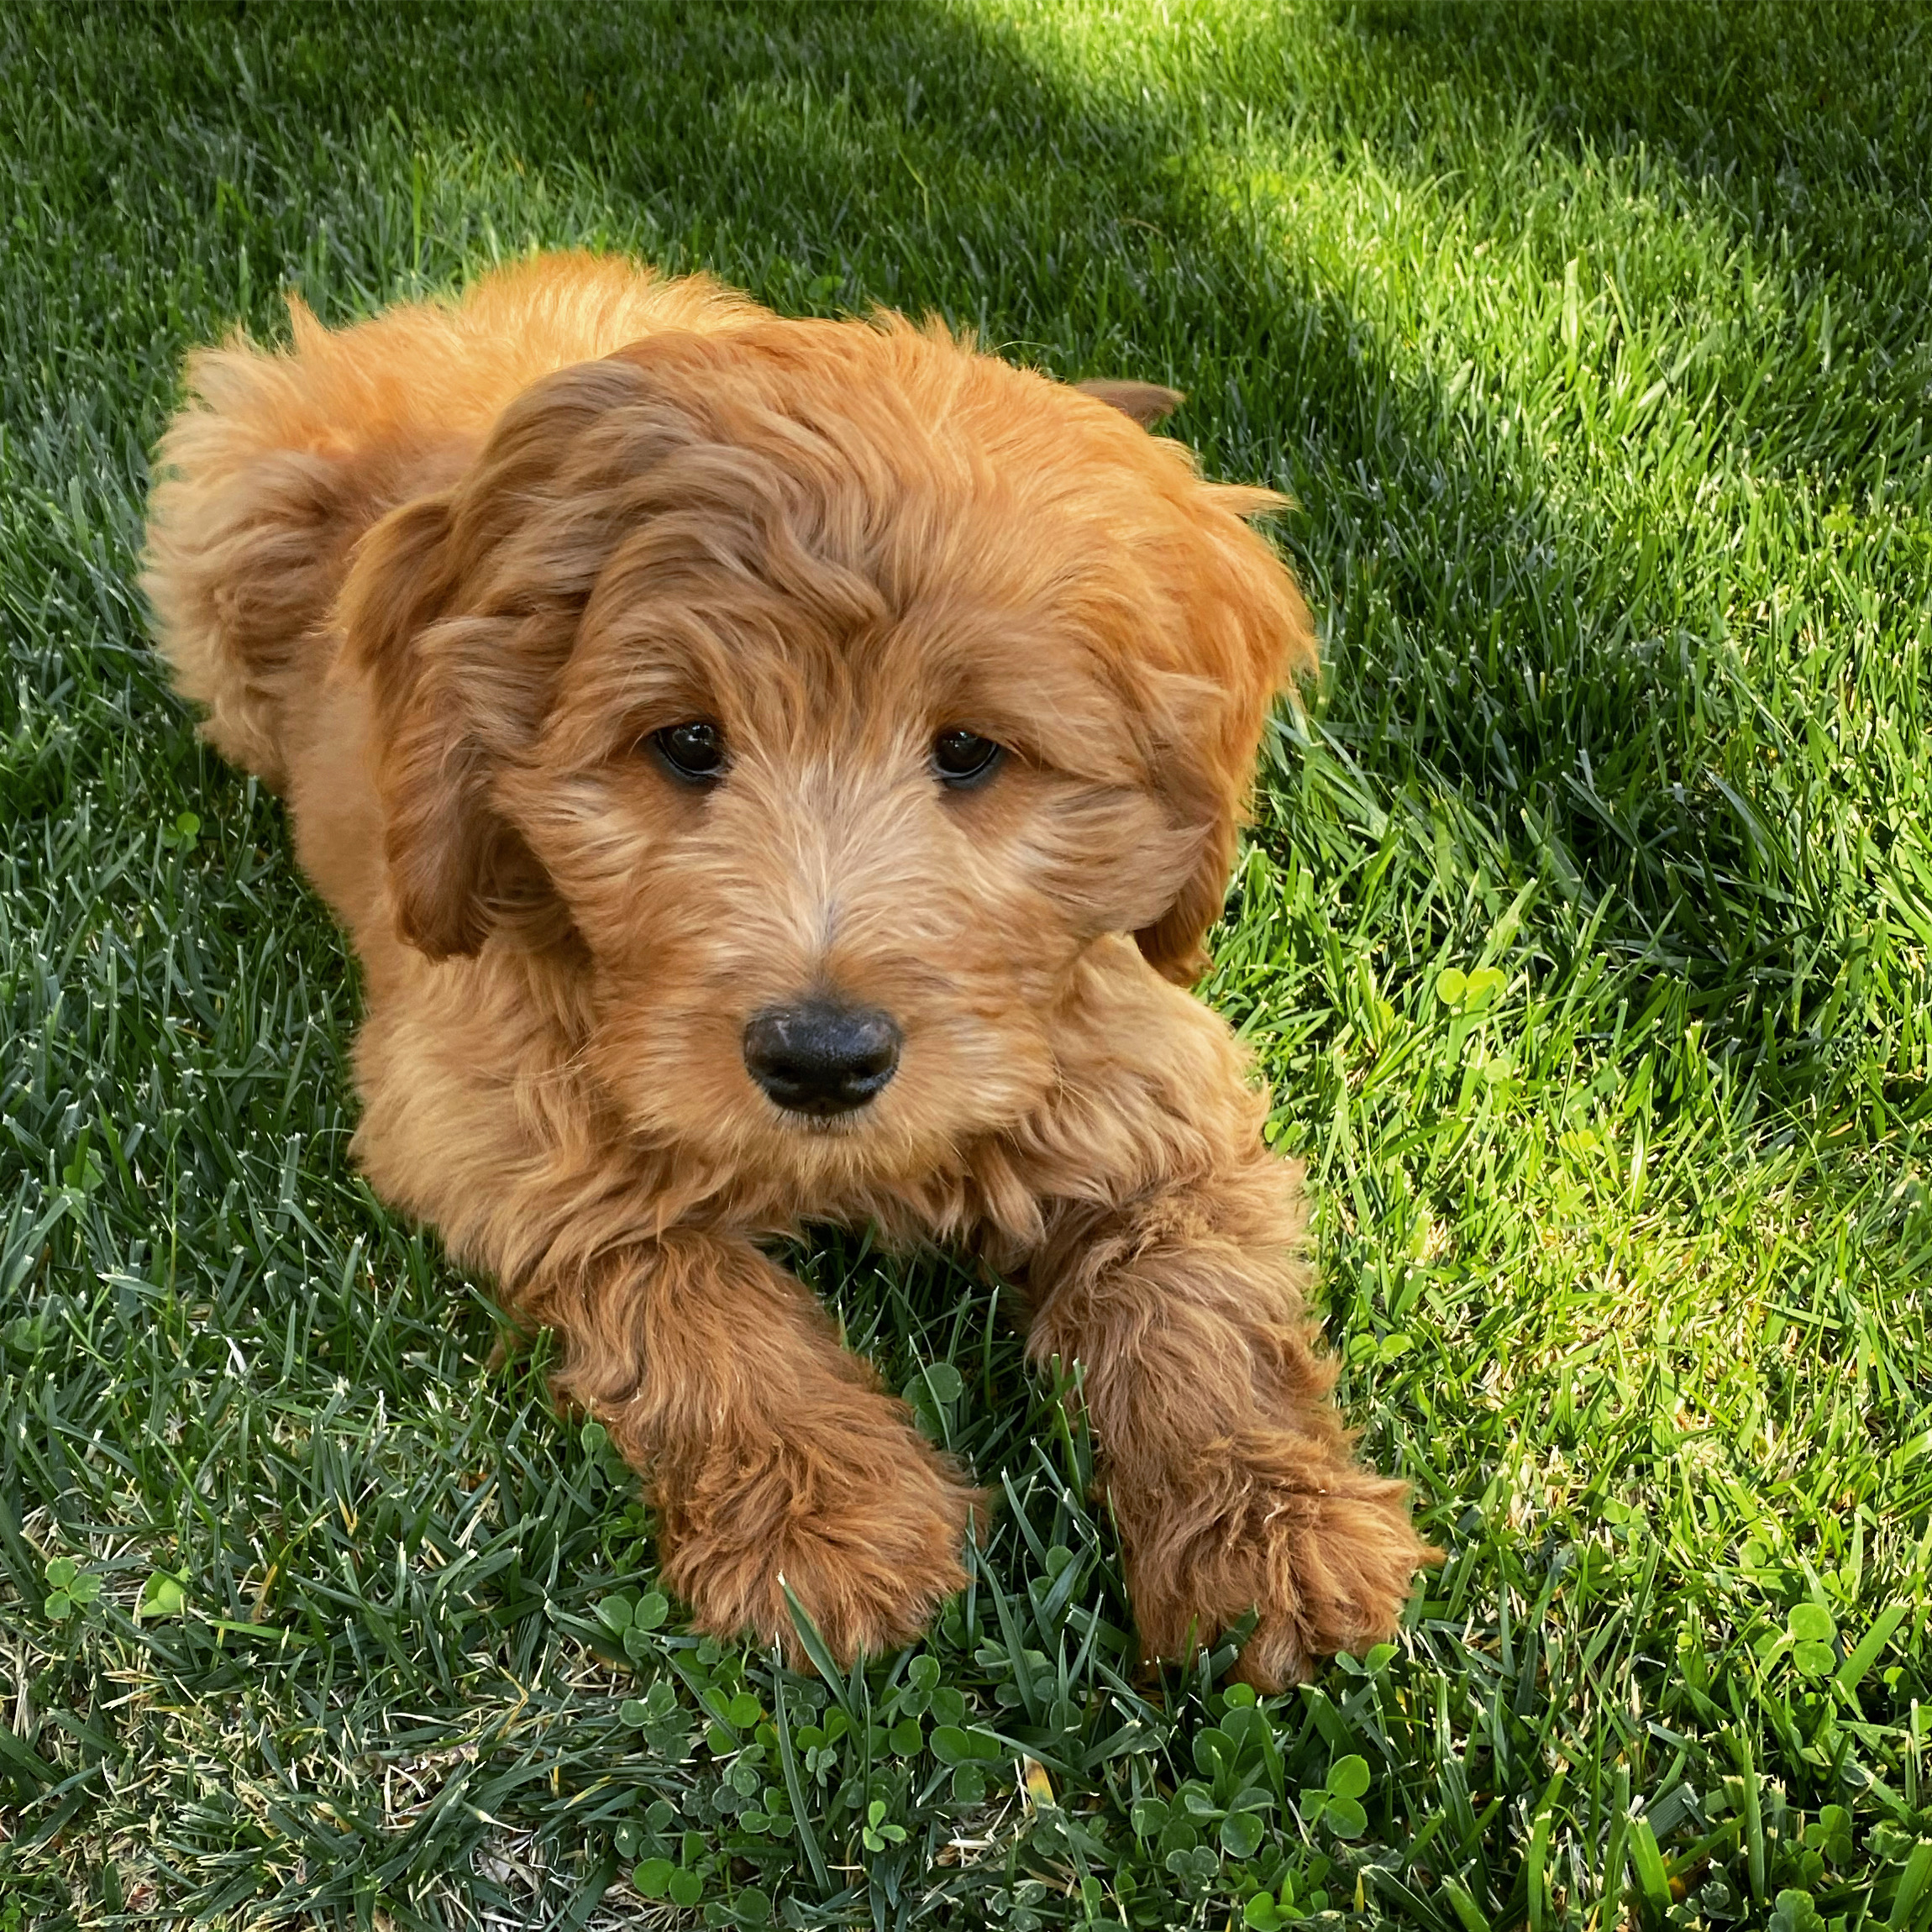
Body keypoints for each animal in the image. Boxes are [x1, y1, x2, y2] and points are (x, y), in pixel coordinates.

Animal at [143, 253, 1430, 1692]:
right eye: (687, 742)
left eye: (971, 750)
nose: (821, 1061)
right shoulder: (484, 1100)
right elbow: (680, 1288)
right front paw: (829, 1525)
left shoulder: (1149, 1072)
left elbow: (1196, 1298)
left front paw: (1271, 1531)